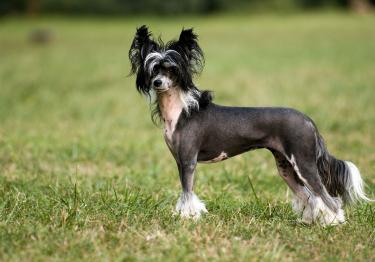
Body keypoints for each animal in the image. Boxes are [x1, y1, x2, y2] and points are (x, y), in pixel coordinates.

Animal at [129, 25, 374, 225]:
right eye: (153, 69)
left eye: (171, 69)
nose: (157, 82)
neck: (180, 111)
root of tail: (308, 121)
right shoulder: (180, 161)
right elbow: (184, 190)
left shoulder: (189, 161)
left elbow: (187, 193)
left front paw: (187, 218)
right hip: (286, 167)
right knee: (307, 196)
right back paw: (307, 222)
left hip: (304, 163)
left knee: (326, 198)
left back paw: (333, 223)